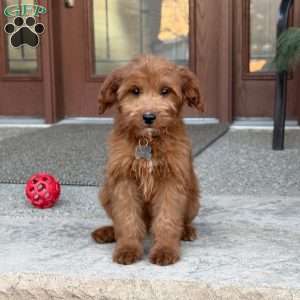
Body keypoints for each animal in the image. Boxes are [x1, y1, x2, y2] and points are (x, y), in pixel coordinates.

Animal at [92, 55, 204, 266]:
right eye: (135, 91)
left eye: (165, 91)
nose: (149, 117)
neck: (148, 140)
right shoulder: (123, 179)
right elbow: (126, 218)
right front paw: (127, 248)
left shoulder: (172, 179)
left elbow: (168, 218)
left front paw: (165, 249)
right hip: (105, 193)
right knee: (124, 223)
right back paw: (108, 232)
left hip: (193, 197)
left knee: (181, 221)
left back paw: (185, 231)